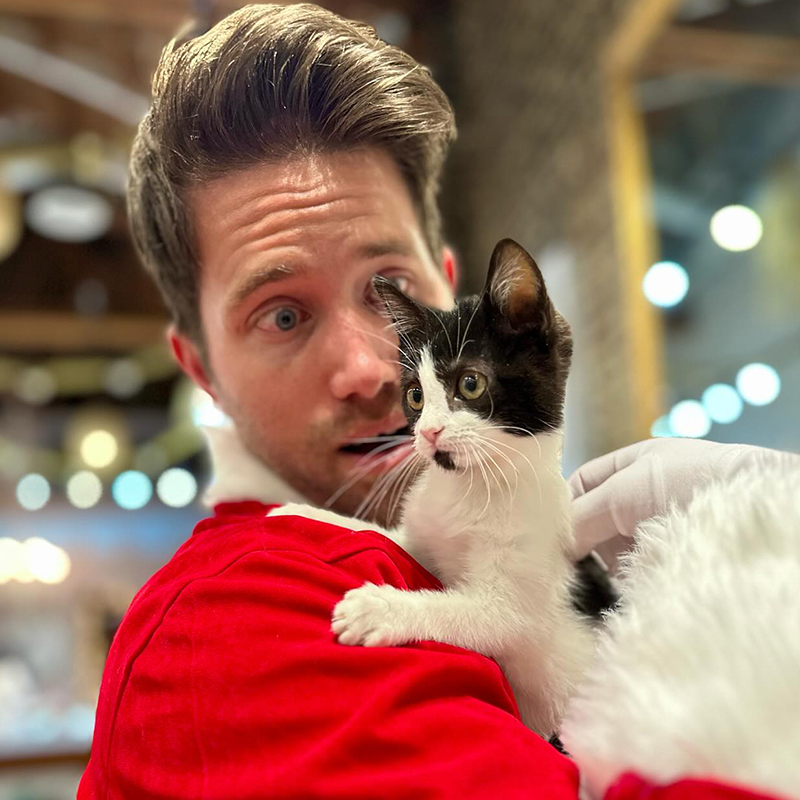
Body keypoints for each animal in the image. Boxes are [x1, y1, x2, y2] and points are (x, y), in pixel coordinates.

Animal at [272, 239, 596, 736]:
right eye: (415, 396)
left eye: (470, 383)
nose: (428, 432)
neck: (471, 486)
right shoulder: (425, 538)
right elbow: (388, 537)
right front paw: (304, 512)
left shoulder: (520, 600)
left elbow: (471, 613)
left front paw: (379, 608)